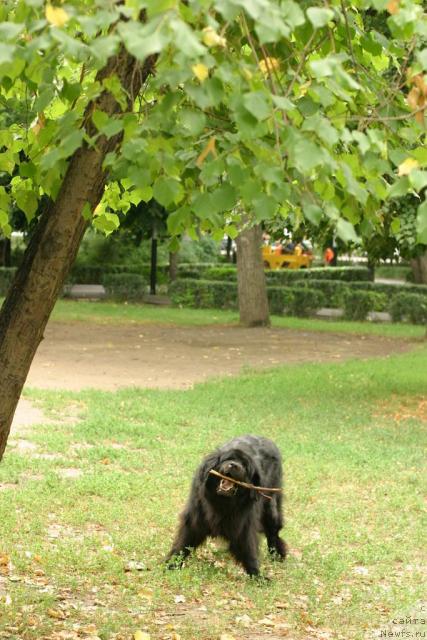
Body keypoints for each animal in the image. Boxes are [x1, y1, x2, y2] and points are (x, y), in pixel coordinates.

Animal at [167, 436, 288, 576]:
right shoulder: (196, 516)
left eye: (245, 466)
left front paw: (256, 574)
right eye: (228, 459)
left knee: (273, 531)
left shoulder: (244, 524)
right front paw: (171, 564)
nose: (234, 465)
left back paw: (276, 554)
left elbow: (248, 548)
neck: (223, 503)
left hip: (271, 506)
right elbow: (183, 542)